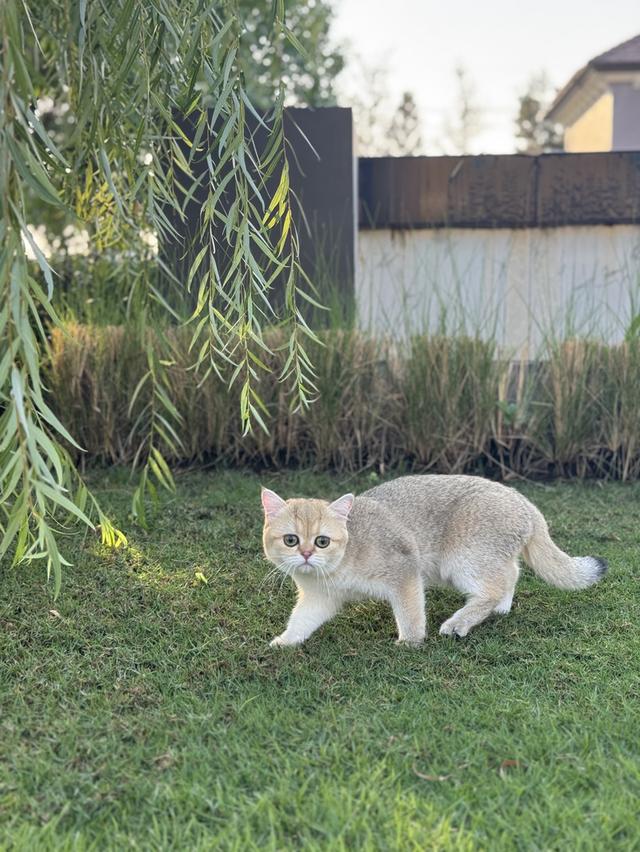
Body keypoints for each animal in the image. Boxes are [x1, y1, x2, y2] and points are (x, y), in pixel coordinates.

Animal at [258, 476, 604, 648]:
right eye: (291, 540)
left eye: (322, 541)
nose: (306, 554)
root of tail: (524, 501)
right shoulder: (319, 599)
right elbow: (301, 621)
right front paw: (285, 642)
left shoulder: (405, 571)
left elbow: (410, 614)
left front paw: (410, 643)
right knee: (511, 572)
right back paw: (502, 606)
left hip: (461, 559)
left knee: (494, 586)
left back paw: (460, 623)